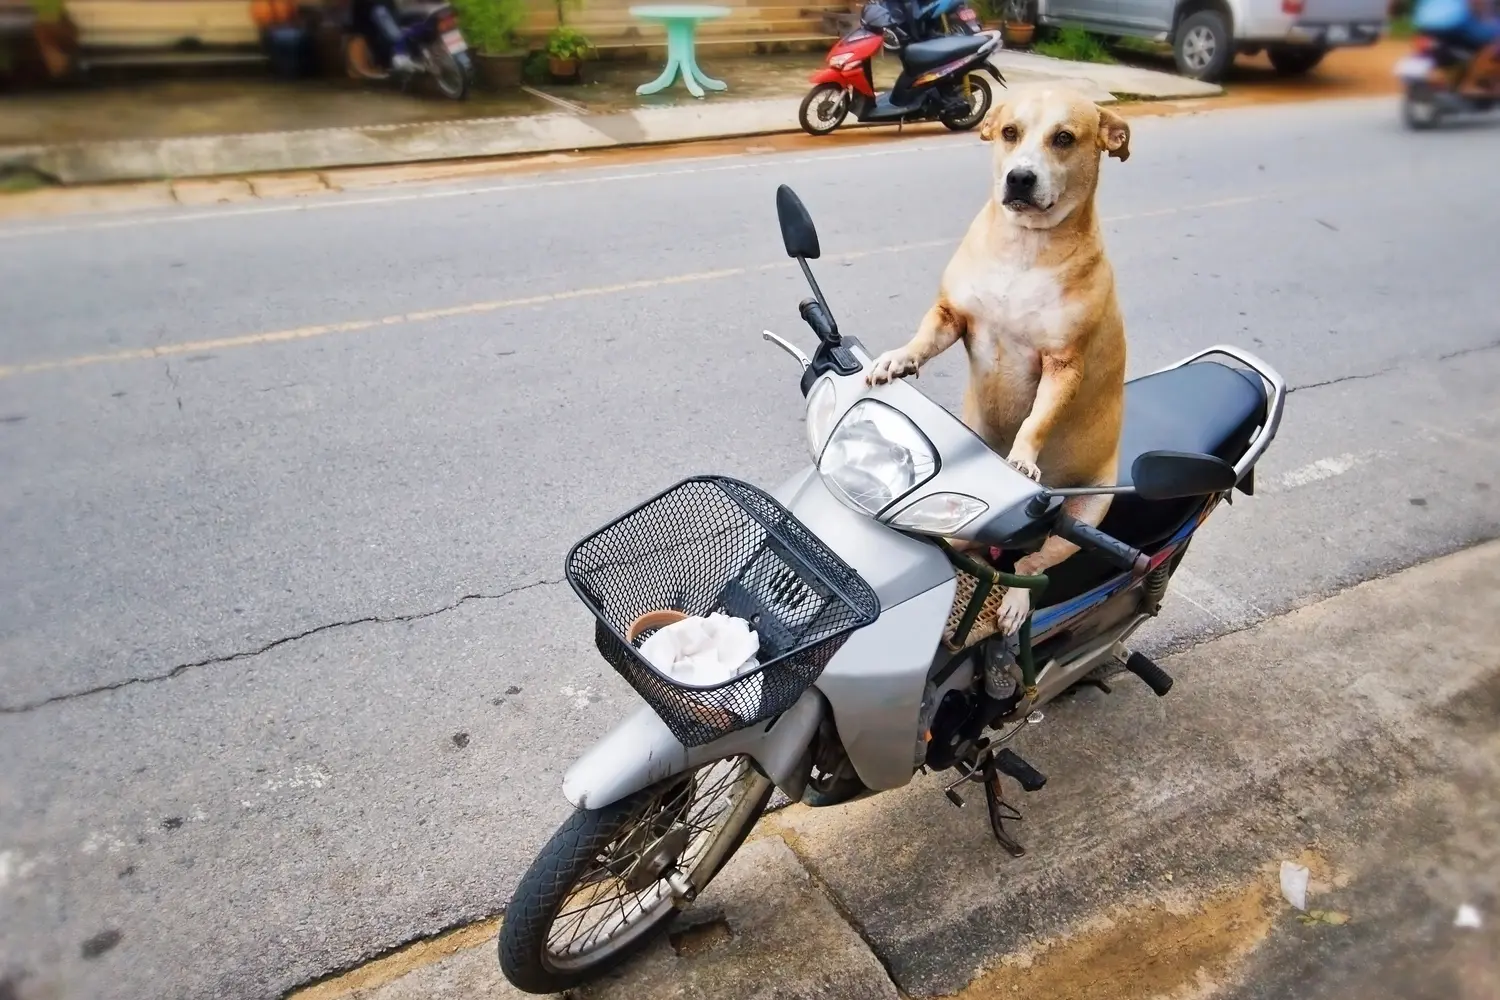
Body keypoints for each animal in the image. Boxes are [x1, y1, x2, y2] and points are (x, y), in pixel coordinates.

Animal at [870, 86, 1128, 632]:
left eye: (1064, 138)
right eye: (1009, 132)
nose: (1020, 177)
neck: (1024, 247)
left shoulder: (1062, 365)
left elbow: (1037, 420)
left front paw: (1023, 459)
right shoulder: (952, 316)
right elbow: (922, 339)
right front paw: (897, 360)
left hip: (1087, 513)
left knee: (1034, 565)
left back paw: (1014, 602)